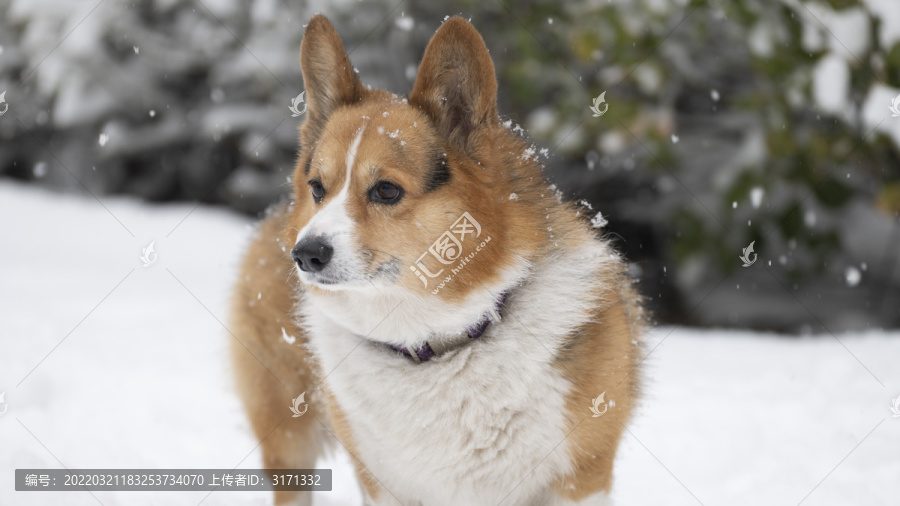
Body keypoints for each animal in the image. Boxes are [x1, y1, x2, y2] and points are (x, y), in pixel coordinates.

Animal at [229, 13, 644, 504]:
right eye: (317, 188)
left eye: (387, 191)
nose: (304, 254)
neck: (438, 343)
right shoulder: (383, 487)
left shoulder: (583, 479)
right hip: (288, 440)